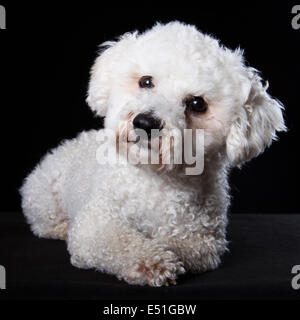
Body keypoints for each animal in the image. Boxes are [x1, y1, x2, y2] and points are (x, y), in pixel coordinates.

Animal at [19, 22, 284, 288]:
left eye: (197, 104)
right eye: (146, 81)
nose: (145, 123)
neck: (155, 179)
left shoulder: (205, 238)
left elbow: (182, 244)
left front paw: (164, 252)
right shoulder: (96, 222)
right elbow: (120, 242)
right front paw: (150, 260)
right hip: (43, 199)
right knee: (43, 224)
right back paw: (61, 228)